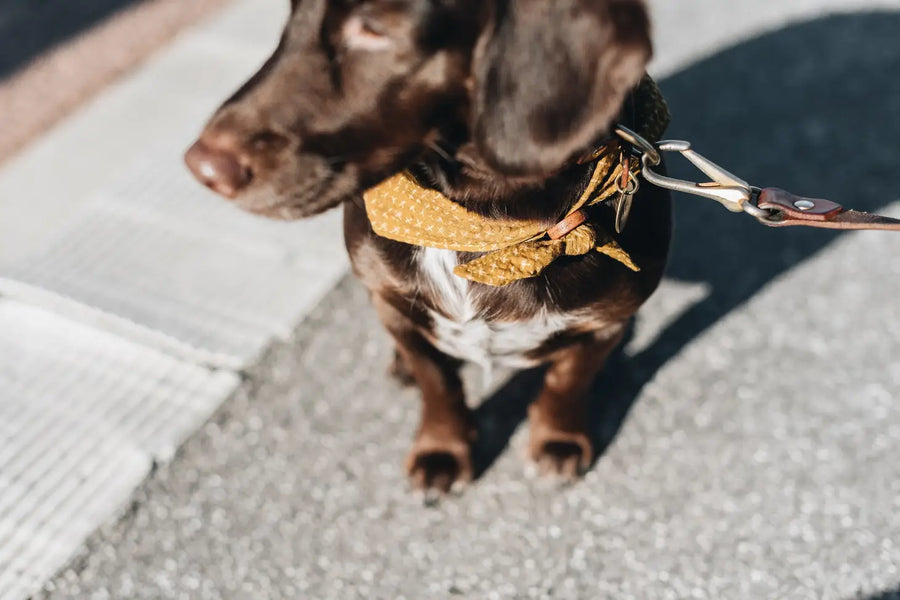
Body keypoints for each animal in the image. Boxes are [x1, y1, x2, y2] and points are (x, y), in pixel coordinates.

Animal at [186, 0, 672, 492]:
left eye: (374, 29)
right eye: (289, 15)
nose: (201, 168)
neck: (481, 226)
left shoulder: (607, 320)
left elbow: (567, 380)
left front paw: (558, 439)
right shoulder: (389, 301)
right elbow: (436, 380)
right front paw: (442, 449)